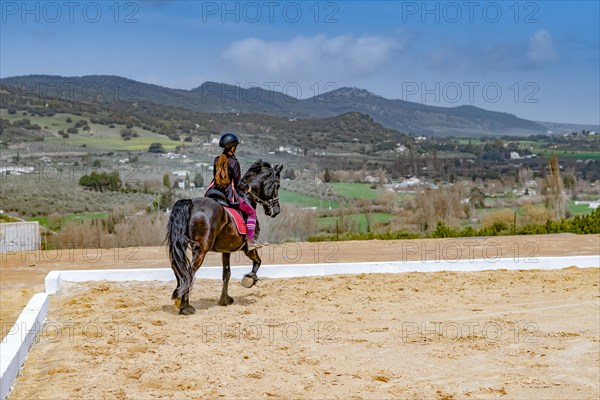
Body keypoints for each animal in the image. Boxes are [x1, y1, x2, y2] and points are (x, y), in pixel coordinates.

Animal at [166, 161, 284, 314]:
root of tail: (191, 203)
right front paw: (250, 279)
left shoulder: (226, 250)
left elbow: (226, 274)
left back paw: (179, 300)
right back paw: (185, 307)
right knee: (189, 272)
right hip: (201, 250)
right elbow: (258, 261)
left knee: (179, 269)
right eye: (277, 185)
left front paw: (224, 300)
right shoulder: (248, 248)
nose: (276, 211)